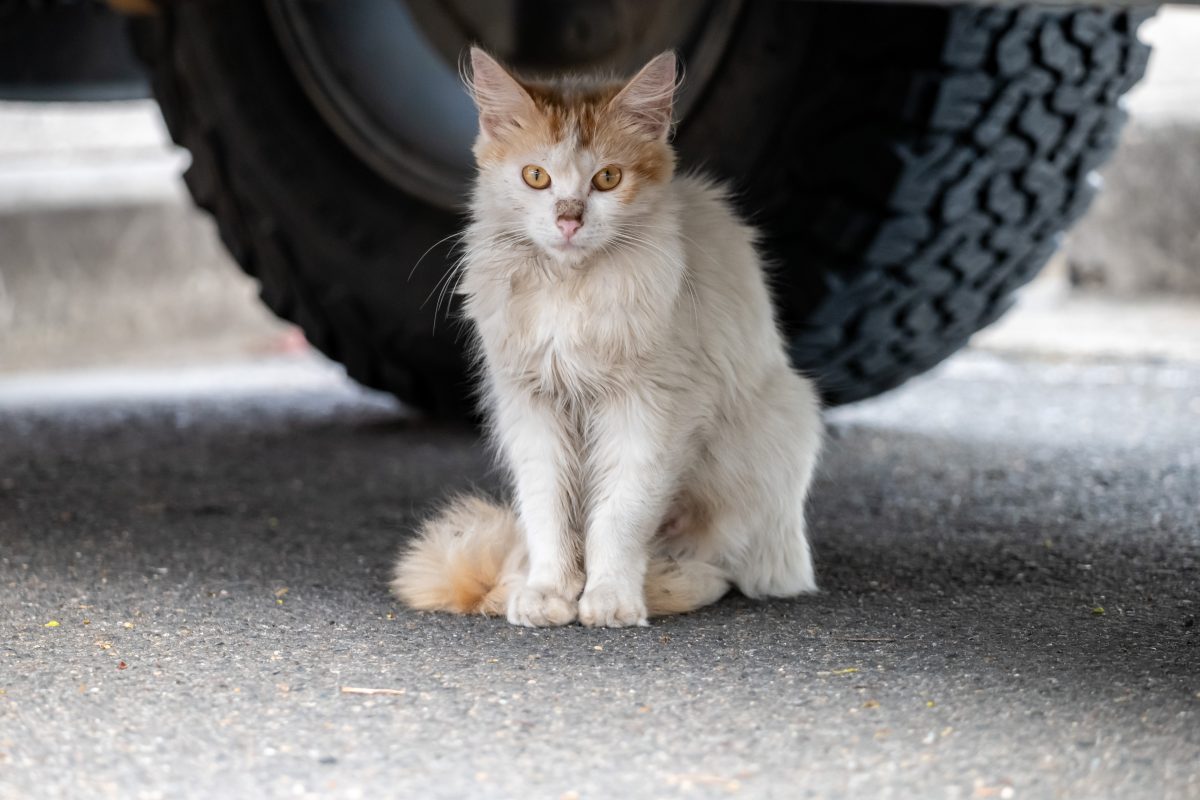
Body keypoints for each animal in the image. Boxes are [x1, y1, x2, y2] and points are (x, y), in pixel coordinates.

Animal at [393, 47, 825, 628]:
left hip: (777, 432)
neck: (569, 287)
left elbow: (620, 516)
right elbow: (548, 515)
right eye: (535, 176)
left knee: (726, 562)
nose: (569, 220)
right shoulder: (533, 408)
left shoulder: (648, 411)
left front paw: (609, 598)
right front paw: (548, 593)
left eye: (608, 179)